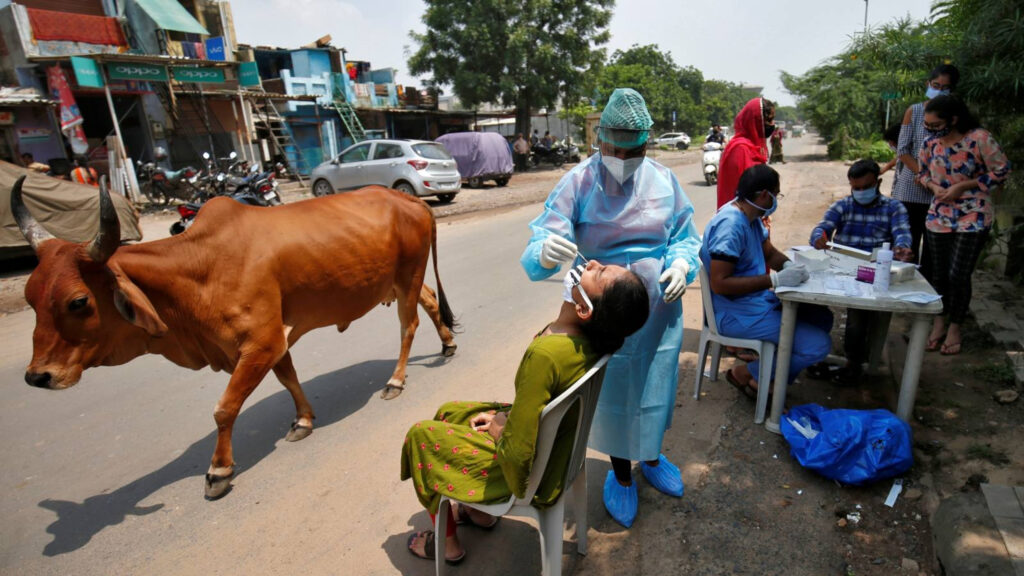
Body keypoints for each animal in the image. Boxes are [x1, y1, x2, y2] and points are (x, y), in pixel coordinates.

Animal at [12, 177, 456, 496]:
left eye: (78, 301)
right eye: (30, 296)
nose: (38, 376)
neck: (197, 269)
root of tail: (409, 200)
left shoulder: (262, 341)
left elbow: (225, 408)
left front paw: (219, 470)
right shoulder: (273, 338)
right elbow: (288, 378)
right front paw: (303, 420)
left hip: (408, 275)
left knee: (409, 325)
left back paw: (396, 380)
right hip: (399, 281)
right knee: (431, 302)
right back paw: (448, 343)